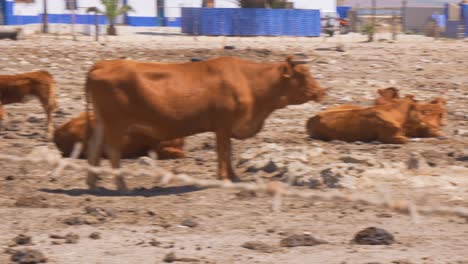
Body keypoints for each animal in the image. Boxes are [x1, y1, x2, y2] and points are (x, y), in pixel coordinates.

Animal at [84, 56, 326, 192]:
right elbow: (223, 151)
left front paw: (234, 177)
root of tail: (102, 64)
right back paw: (121, 185)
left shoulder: (225, 127)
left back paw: (93, 182)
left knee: (94, 147)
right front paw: (224, 179)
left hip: (102, 123)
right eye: (303, 75)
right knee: (112, 151)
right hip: (115, 124)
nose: (322, 91)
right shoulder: (223, 125)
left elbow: (227, 152)